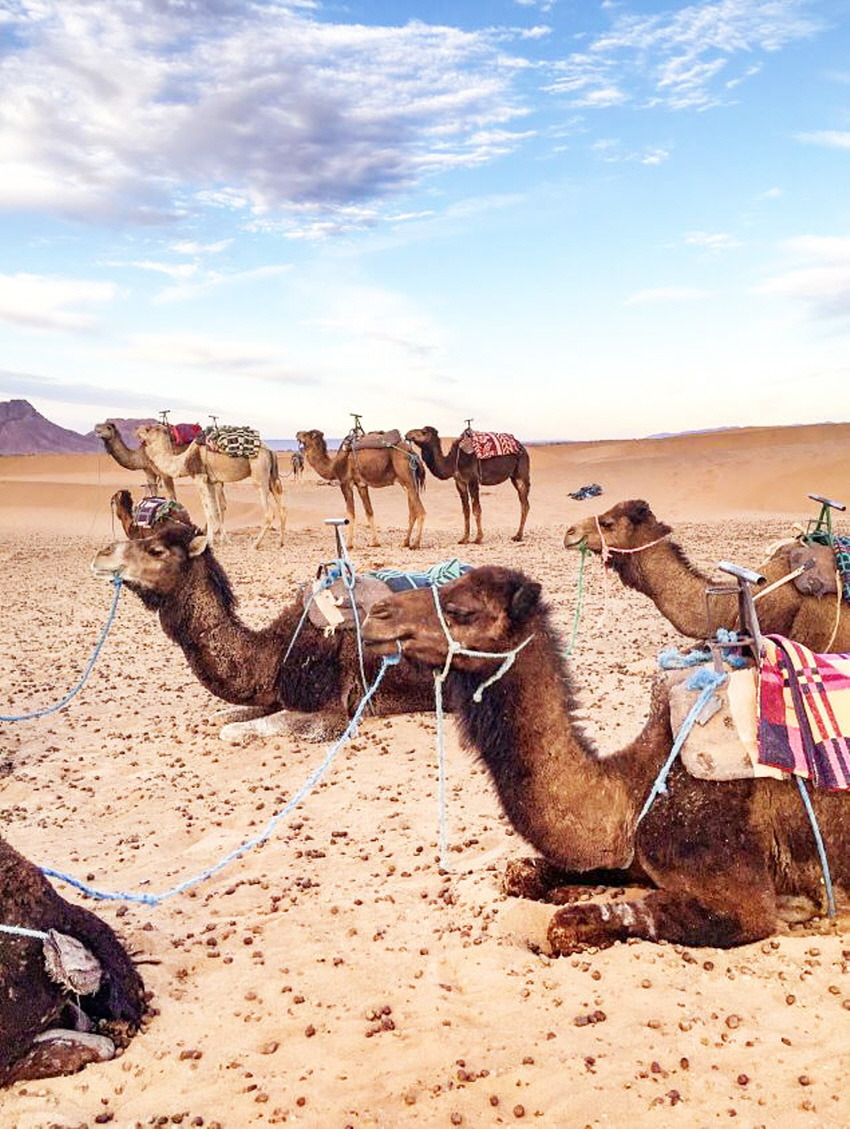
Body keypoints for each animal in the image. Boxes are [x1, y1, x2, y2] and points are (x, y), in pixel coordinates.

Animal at [90, 503, 437, 743]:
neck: (275, 652)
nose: (101, 553)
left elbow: (232, 730)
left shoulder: (333, 714)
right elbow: (221, 716)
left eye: (156, 550)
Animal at [137, 425, 286, 550]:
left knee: (269, 512)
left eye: (148, 429)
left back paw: (255, 544)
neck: (183, 461)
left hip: (259, 472)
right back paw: (280, 542)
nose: (137, 430)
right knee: (281, 507)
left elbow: (207, 510)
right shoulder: (211, 481)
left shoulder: (200, 478)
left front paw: (209, 542)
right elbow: (215, 510)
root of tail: (270, 450)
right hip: (271, 477)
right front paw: (217, 540)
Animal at [295, 429, 425, 550]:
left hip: (407, 479)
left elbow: (350, 513)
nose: (297, 433)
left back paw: (415, 544)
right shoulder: (361, 485)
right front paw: (374, 543)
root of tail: (412, 452)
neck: (333, 465)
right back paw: (405, 542)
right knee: (412, 513)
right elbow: (369, 512)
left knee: (421, 511)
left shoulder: (345, 483)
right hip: (407, 483)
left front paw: (348, 545)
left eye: (306, 434)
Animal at [363, 566, 849, 952]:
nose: (375, 614)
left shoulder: (735, 887)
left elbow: (567, 926)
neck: (635, 792)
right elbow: (519, 871)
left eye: (462, 610)